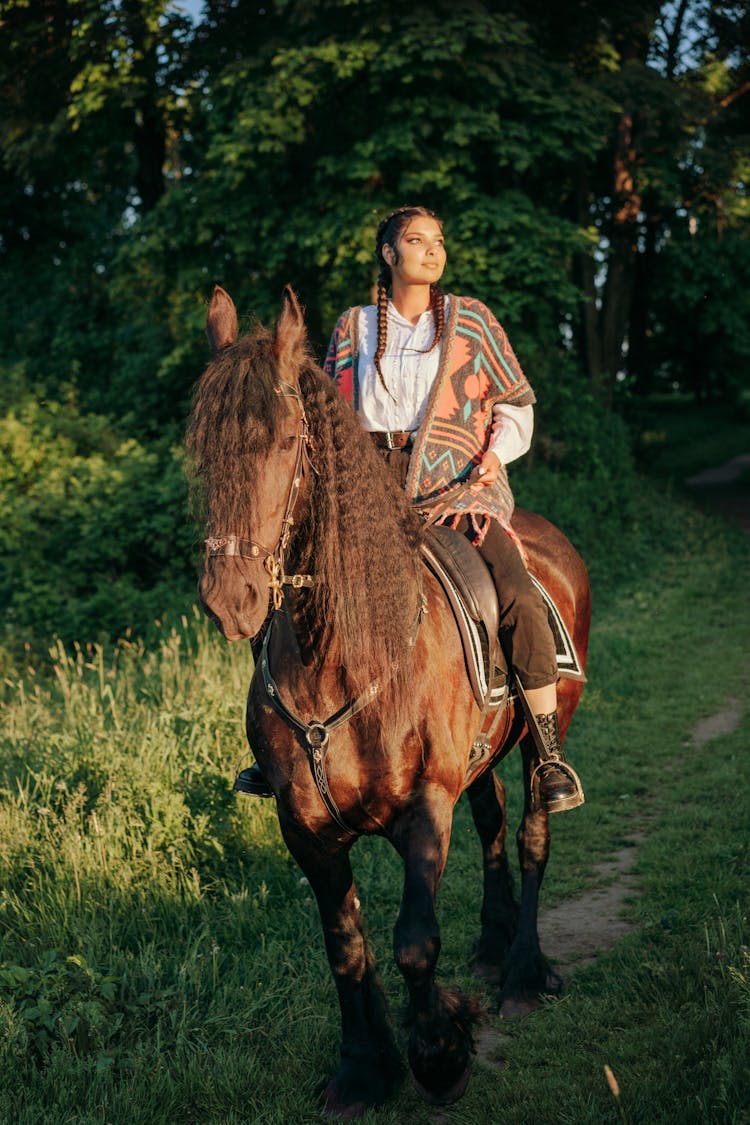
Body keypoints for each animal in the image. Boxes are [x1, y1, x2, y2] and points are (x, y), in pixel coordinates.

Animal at [188, 283, 593, 1116]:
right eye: (203, 447)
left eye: (286, 441)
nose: (230, 598)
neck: (341, 658)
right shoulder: (304, 827)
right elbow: (345, 946)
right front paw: (363, 1066)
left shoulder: (424, 806)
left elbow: (413, 941)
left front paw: (439, 1050)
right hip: (482, 759)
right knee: (495, 825)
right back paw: (495, 941)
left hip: (546, 735)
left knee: (532, 834)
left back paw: (523, 973)